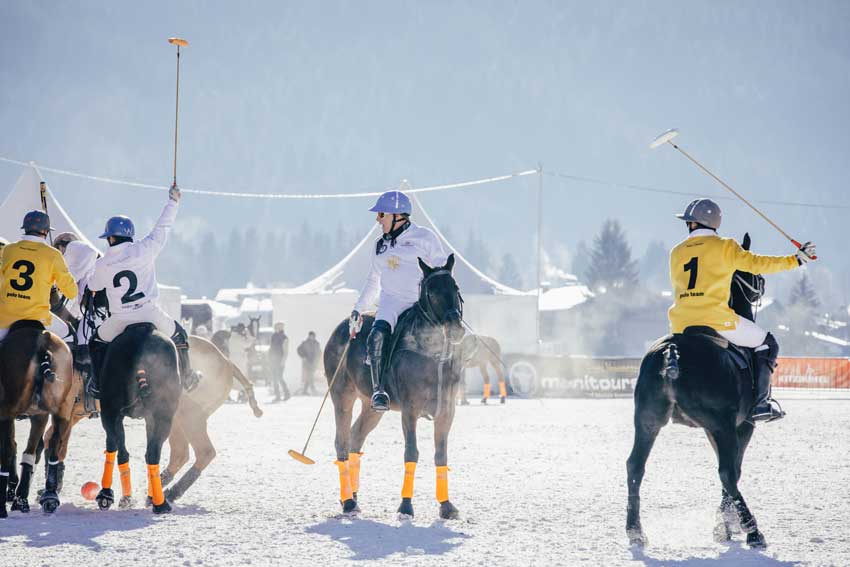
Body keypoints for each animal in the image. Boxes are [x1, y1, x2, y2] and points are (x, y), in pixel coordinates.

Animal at [322, 255, 464, 520]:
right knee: (342, 441)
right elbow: (412, 452)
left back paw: (352, 496)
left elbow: (441, 454)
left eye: (455, 288)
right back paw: (348, 502)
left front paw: (447, 506)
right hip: (341, 394)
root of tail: (341, 329)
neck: (432, 353)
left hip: (371, 406)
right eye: (431, 291)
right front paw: (406, 507)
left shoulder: (446, 411)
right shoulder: (410, 410)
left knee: (356, 436)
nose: (455, 327)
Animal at [624, 233, 768, 548]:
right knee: (727, 473)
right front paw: (726, 526)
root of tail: (671, 351)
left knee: (635, 467)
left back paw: (635, 531)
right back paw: (754, 531)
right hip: (722, 423)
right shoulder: (741, 424)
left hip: (647, 420)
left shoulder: (711, 428)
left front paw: (724, 524)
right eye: (752, 270)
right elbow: (734, 469)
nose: (762, 284)